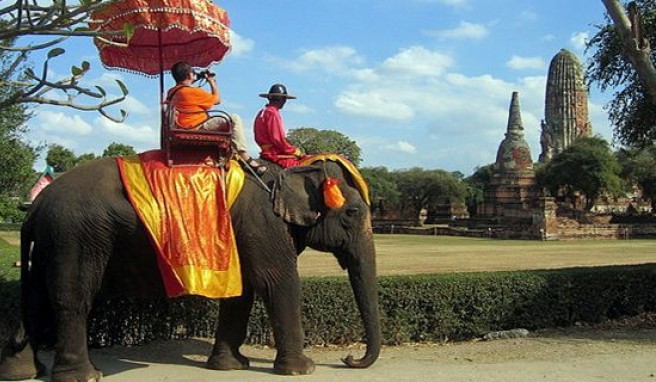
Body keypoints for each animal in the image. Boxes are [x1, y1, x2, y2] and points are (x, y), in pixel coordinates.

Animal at [0, 156, 380, 382]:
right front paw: (302, 370)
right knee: (72, 299)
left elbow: (242, 292)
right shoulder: (263, 225)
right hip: (74, 236)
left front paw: (230, 366)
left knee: (36, 294)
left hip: (51, 241)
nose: (349, 358)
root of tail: (35, 206)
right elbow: (278, 282)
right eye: (352, 213)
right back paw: (83, 376)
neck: (288, 172)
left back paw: (24, 372)